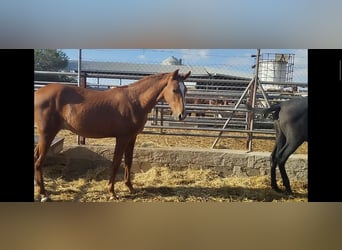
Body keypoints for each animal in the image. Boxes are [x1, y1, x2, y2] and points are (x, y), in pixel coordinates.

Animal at [33, 69, 191, 201]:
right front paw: (112, 192)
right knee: (39, 162)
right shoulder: (122, 138)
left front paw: (130, 187)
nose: (181, 115)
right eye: (174, 89)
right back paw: (44, 194)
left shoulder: (132, 137)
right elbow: (116, 163)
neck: (135, 101)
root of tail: (38, 93)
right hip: (47, 134)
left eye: (186, 90)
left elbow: (128, 161)